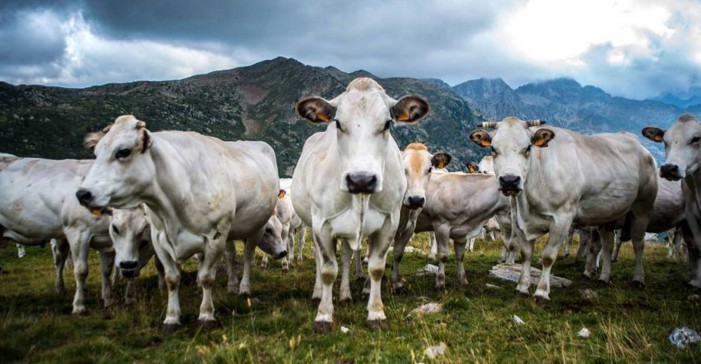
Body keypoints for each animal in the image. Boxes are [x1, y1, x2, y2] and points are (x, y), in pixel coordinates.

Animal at [0, 156, 112, 312]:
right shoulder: (77, 232)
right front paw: (79, 305)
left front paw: (108, 301)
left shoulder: (106, 238)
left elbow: (106, 270)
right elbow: (81, 270)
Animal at [470, 118, 656, 300]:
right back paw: (604, 277)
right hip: (609, 213)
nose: (509, 180)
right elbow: (525, 254)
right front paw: (522, 287)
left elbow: (548, 256)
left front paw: (542, 292)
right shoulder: (519, 220)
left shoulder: (563, 218)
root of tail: (636, 142)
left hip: (643, 207)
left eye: (528, 147)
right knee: (608, 245)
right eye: (493, 148)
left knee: (638, 244)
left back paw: (638, 278)